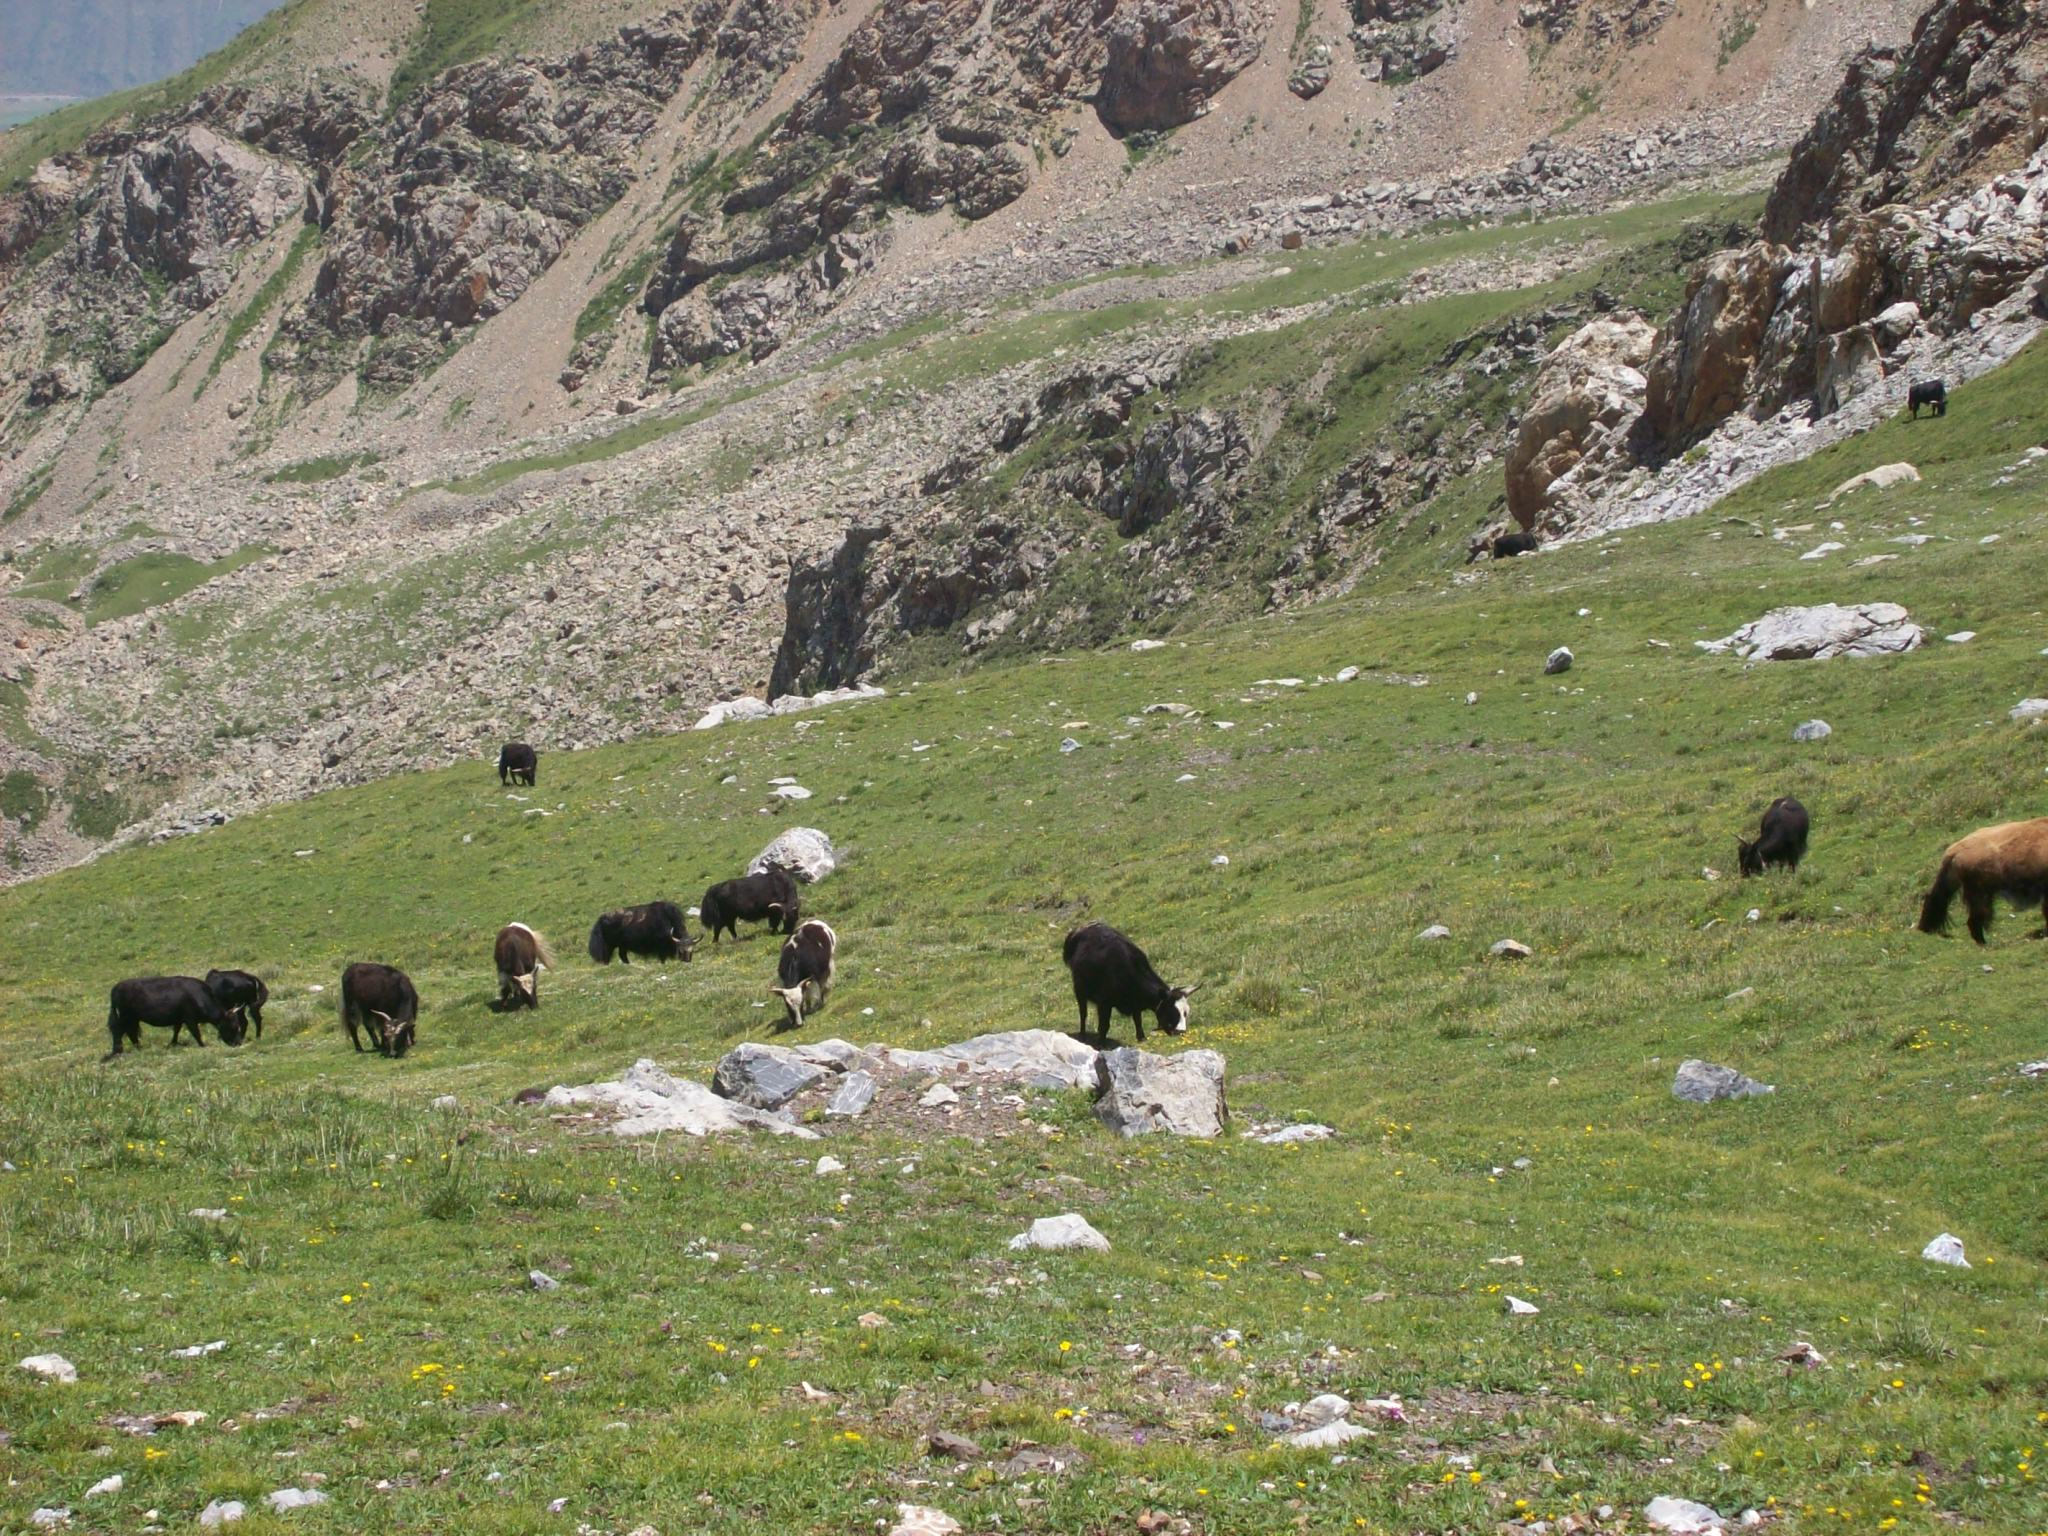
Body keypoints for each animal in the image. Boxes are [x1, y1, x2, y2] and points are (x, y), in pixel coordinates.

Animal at [105, 976, 239, 1057]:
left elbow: (176, 1031)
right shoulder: (190, 1019)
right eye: (233, 1027)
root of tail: (116, 987)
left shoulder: (179, 1019)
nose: (237, 1043)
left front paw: (172, 1044)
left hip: (132, 1019)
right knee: (120, 1032)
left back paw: (138, 1048)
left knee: (130, 1032)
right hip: (125, 1017)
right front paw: (203, 1045)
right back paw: (118, 1051)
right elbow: (196, 1033)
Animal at [1062, 922, 1198, 1045]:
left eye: (1186, 1012)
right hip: (1079, 990)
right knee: (1083, 1013)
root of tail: (1079, 929)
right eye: (1172, 1010)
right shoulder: (1104, 1002)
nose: (1181, 1032)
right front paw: (1101, 1043)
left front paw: (1141, 1038)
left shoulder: (1135, 1002)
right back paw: (1082, 1035)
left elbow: (1137, 1019)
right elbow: (1104, 1024)